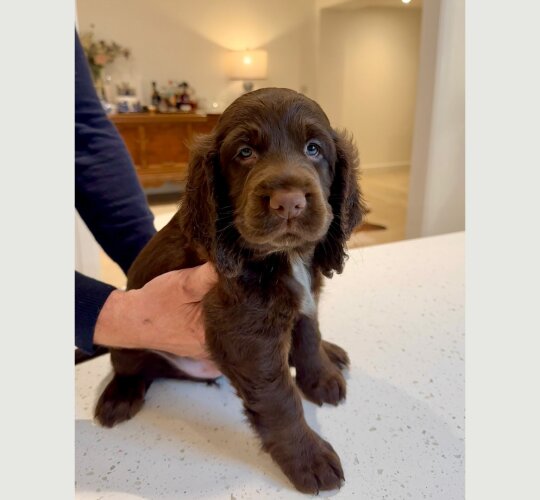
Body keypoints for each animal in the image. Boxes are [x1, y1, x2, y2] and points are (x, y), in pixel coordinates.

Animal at [96, 88, 368, 494]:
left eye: (313, 149)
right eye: (245, 153)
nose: (289, 203)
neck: (283, 256)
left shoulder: (306, 296)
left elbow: (308, 336)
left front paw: (320, 377)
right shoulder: (244, 331)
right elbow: (279, 399)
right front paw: (308, 459)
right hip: (126, 337)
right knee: (130, 367)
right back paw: (118, 398)